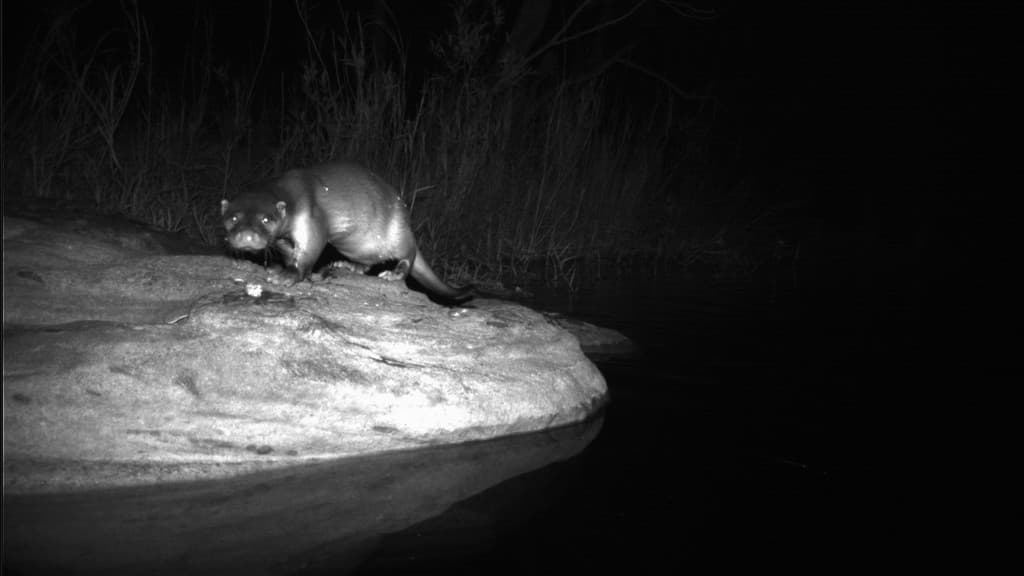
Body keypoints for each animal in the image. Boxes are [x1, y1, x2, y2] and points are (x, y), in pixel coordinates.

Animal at [222, 161, 473, 303]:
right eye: (233, 218)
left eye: (266, 219)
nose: (246, 236)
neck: (290, 193)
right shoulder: (282, 239)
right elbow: (287, 251)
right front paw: (274, 266)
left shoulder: (311, 216)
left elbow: (309, 249)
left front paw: (287, 275)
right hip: (359, 247)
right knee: (368, 262)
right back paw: (346, 266)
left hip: (398, 231)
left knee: (408, 255)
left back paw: (394, 274)